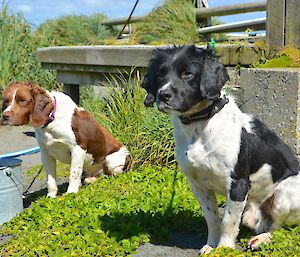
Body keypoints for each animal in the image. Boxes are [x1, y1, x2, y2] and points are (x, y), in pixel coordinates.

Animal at [1, 81, 130, 197]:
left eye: (22, 100)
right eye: (6, 101)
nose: (5, 116)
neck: (51, 120)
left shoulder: (77, 148)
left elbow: (74, 172)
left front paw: (71, 192)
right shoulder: (46, 153)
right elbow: (50, 179)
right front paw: (51, 196)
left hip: (113, 161)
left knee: (110, 175)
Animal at [142, 45, 300, 253]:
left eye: (187, 73)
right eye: (161, 74)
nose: (163, 95)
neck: (200, 126)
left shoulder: (238, 184)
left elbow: (228, 221)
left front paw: (224, 249)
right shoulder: (198, 185)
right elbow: (213, 218)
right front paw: (211, 245)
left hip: (283, 194)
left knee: (277, 226)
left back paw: (262, 239)